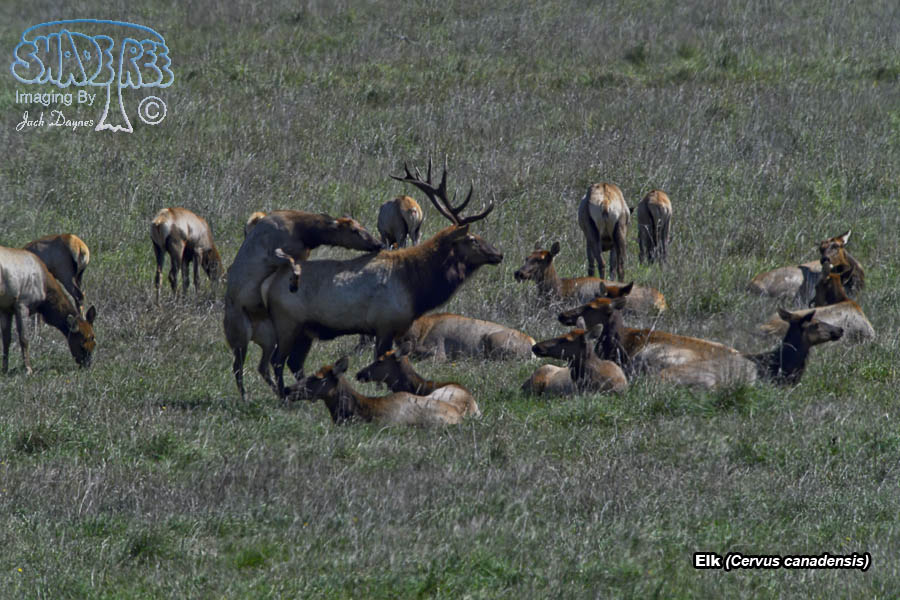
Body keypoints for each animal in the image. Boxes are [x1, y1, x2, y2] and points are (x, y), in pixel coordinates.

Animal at [0, 246, 97, 374]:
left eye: (94, 342)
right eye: (82, 344)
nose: (87, 365)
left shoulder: (6, 309)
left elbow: (6, 340)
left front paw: (4, 369)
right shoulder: (22, 304)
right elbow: (24, 339)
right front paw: (28, 369)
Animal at [225, 210, 384, 399]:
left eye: (360, 226)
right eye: (354, 230)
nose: (378, 244)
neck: (305, 233)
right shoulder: (273, 253)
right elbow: (291, 262)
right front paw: (294, 283)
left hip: (269, 337)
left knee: (262, 366)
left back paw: (278, 393)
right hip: (240, 336)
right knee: (238, 366)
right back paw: (246, 397)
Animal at [263, 160, 501, 398]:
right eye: (472, 238)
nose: (499, 254)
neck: (417, 285)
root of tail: (267, 286)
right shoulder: (385, 324)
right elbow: (380, 361)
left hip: (306, 331)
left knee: (294, 363)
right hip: (288, 322)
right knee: (277, 361)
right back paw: (282, 395)